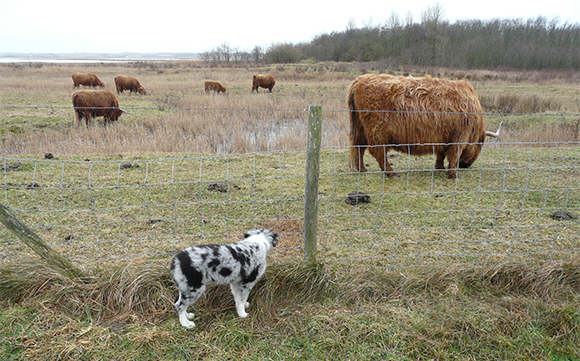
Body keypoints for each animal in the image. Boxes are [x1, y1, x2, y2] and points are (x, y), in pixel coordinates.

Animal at [346, 74, 500, 179]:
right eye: (480, 144)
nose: (465, 165)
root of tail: (359, 80)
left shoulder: (443, 137)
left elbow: (441, 154)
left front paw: (439, 168)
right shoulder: (459, 136)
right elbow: (454, 154)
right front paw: (453, 175)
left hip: (361, 127)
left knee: (359, 146)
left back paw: (362, 169)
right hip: (377, 131)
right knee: (378, 152)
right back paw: (391, 173)